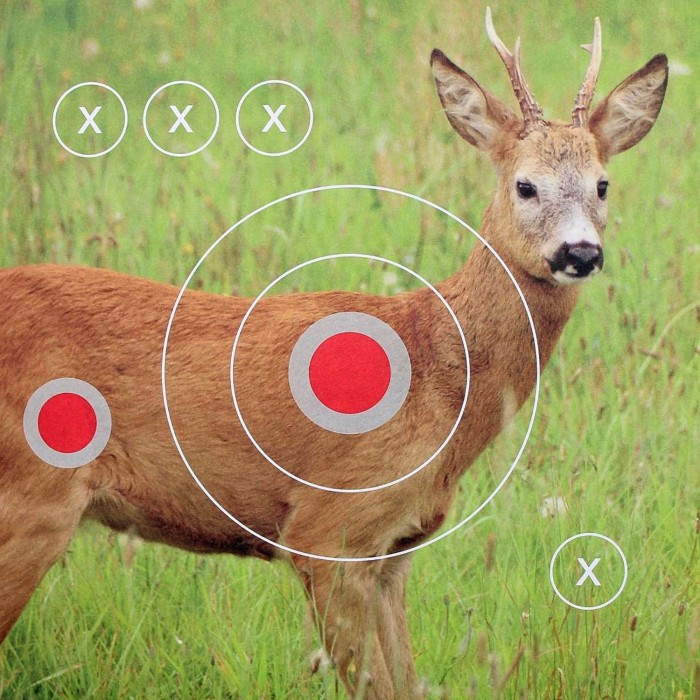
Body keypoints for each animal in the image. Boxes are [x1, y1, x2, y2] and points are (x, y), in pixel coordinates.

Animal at [0, 8, 667, 700]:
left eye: (603, 184)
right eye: (525, 185)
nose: (580, 252)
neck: (437, 373)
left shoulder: (395, 548)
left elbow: (408, 680)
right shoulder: (328, 527)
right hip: (30, 495)